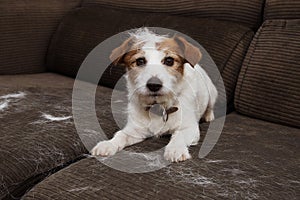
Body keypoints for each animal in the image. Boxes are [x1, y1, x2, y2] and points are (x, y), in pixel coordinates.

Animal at [91, 28, 218, 162]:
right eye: (140, 61)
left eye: (169, 60)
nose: (154, 85)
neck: (159, 107)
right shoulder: (135, 130)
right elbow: (121, 135)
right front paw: (108, 144)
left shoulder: (189, 128)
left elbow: (179, 136)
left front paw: (175, 149)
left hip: (212, 93)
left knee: (210, 107)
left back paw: (209, 116)